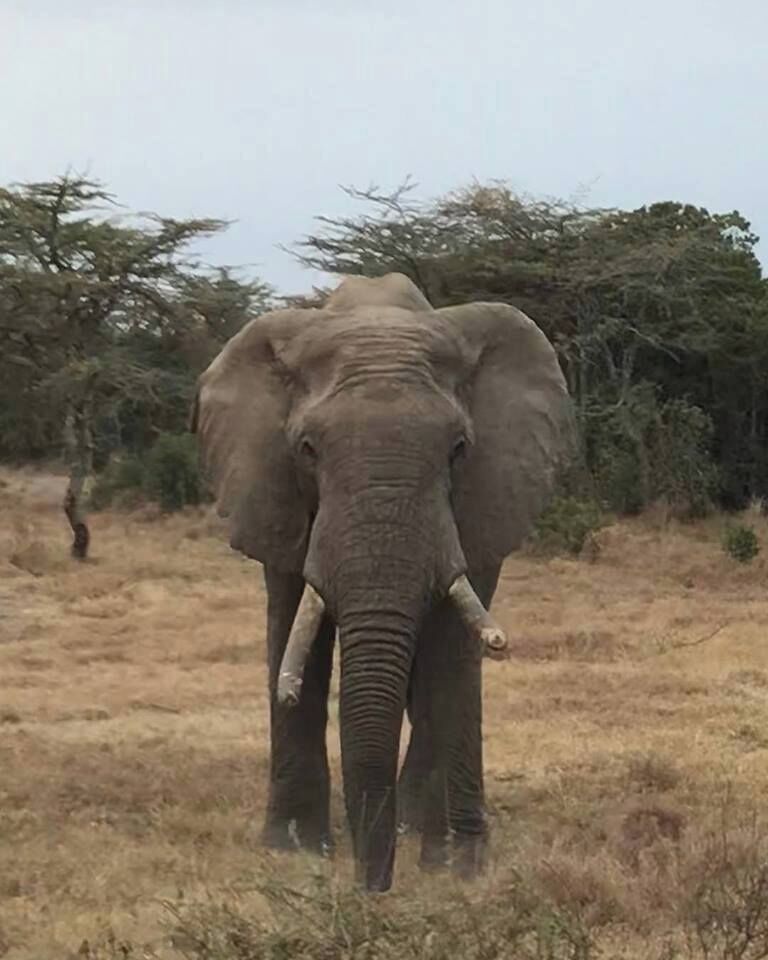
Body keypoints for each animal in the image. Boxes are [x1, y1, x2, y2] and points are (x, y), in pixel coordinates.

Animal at [191, 272, 575, 892]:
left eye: (459, 449)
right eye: (306, 449)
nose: (374, 889)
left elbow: (451, 656)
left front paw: (452, 861)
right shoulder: (271, 490)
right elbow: (294, 628)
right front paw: (295, 849)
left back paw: (414, 828)